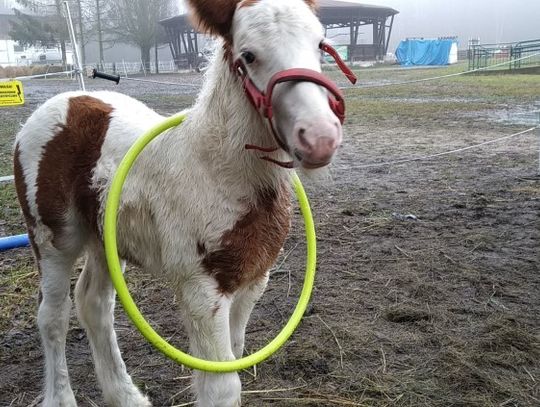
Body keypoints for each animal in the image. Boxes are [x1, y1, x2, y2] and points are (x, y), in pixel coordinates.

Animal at [13, 0, 354, 406]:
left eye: (320, 45)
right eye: (248, 56)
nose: (319, 137)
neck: (218, 169)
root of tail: (63, 101)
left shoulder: (253, 279)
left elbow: (236, 354)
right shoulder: (201, 289)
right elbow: (221, 385)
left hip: (103, 238)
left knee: (93, 304)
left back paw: (125, 396)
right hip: (53, 239)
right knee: (53, 315)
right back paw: (62, 396)